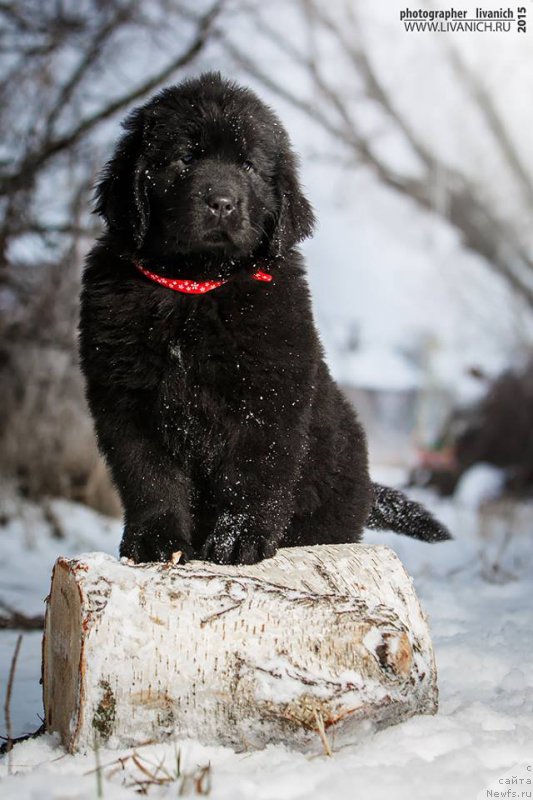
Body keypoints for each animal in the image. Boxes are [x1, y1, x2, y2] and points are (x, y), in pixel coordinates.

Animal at [78, 73, 448, 564]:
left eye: (250, 167)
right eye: (184, 158)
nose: (221, 202)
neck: (195, 289)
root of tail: (369, 490)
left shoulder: (269, 394)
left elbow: (253, 472)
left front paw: (239, 539)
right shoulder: (126, 397)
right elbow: (148, 475)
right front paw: (155, 542)